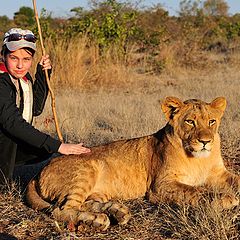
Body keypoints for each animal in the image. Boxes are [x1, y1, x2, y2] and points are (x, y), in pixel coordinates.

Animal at [25, 96, 240, 231]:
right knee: (62, 209)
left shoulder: (219, 173)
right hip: (86, 170)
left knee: (85, 203)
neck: (199, 159)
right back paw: (98, 220)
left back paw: (118, 211)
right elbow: (196, 191)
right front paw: (226, 198)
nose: (205, 141)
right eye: (190, 122)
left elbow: (236, 179)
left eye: (212, 121)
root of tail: (40, 170)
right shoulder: (160, 186)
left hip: (96, 190)